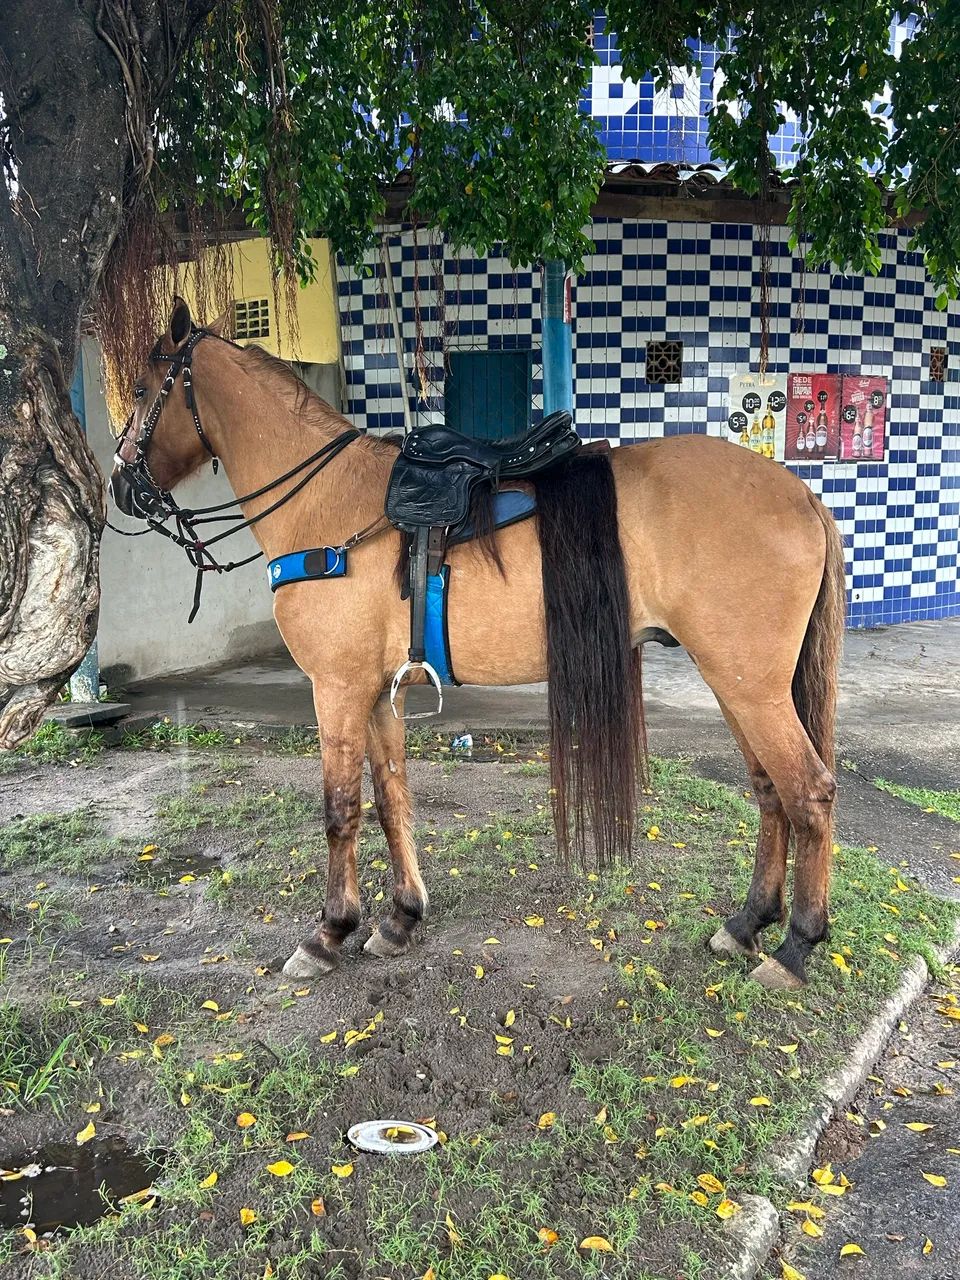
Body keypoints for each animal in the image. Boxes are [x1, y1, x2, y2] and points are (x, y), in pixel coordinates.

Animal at [109, 299, 845, 991]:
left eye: (144, 389)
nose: (121, 486)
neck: (325, 502)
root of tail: (801, 495)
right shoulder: (378, 694)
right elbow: (392, 799)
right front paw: (400, 918)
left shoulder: (337, 689)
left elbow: (341, 810)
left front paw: (328, 933)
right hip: (737, 685)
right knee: (771, 791)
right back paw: (747, 924)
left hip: (749, 687)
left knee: (809, 792)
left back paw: (796, 947)